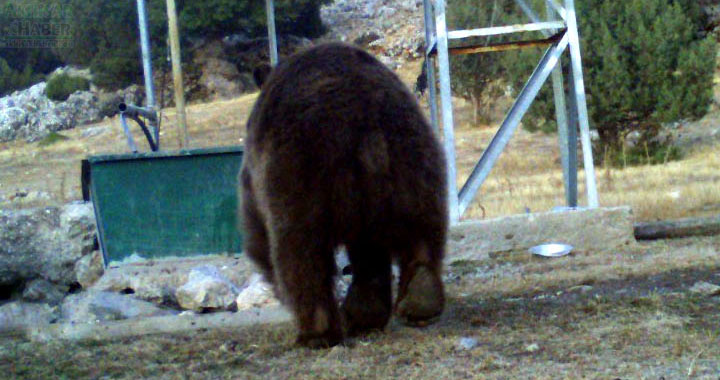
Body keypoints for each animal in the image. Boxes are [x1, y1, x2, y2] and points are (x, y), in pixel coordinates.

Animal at [239, 41, 448, 348]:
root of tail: (364, 121)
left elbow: (258, 234)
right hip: (412, 158)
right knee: (417, 230)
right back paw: (417, 300)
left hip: (299, 171)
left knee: (300, 250)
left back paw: (316, 332)